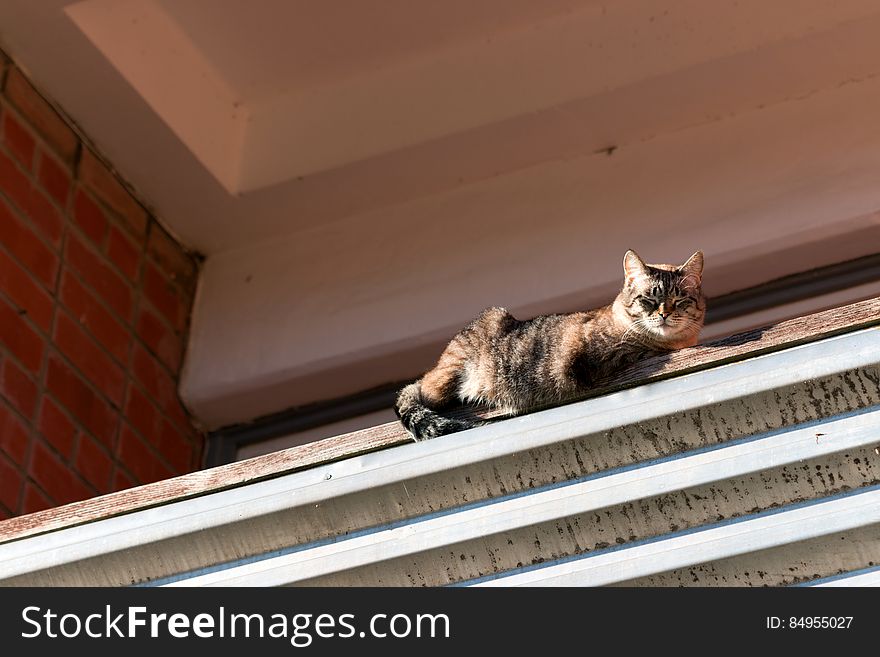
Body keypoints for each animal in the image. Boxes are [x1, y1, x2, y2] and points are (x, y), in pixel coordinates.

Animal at [396, 251, 704, 440]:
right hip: (450, 372)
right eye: (649, 299)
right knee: (420, 389)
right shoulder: (592, 360)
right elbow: (642, 350)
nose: (664, 313)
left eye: (679, 300)